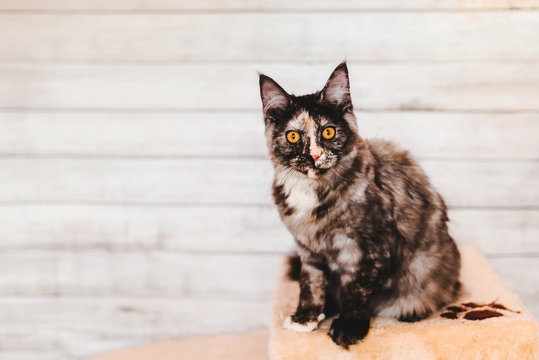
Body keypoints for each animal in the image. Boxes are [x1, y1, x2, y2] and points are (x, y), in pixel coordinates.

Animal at [260, 62, 462, 348]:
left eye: (328, 132)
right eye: (293, 137)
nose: (314, 156)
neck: (313, 192)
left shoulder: (374, 247)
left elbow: (358, 290)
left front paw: (349, 327)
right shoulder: (308, 250)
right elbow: (311, 284)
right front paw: (305, 317)